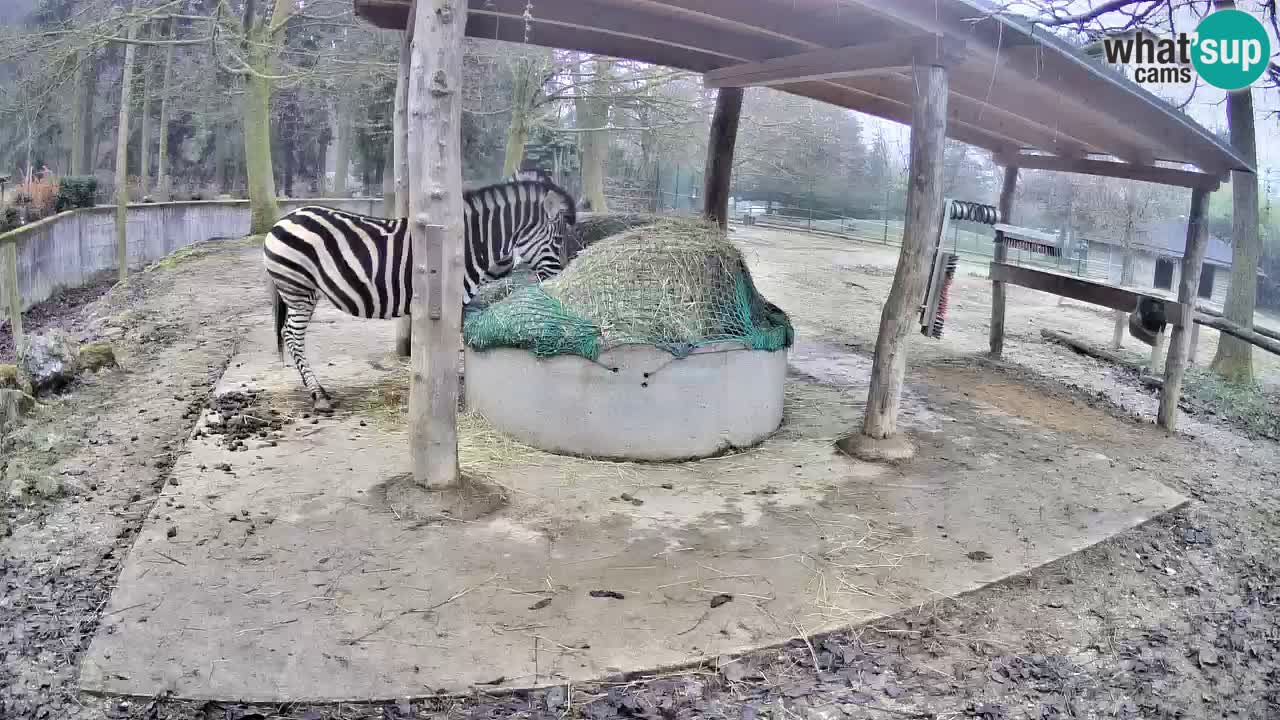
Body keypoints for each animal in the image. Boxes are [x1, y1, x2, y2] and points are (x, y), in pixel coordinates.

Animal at [263, 177, 578, 412]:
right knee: (292, 336)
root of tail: (283, 220)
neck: (463, 246)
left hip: (303, 291)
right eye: (558, 240)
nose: (560, 277)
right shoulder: (450, 302)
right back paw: (318, 395)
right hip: (298, 289)